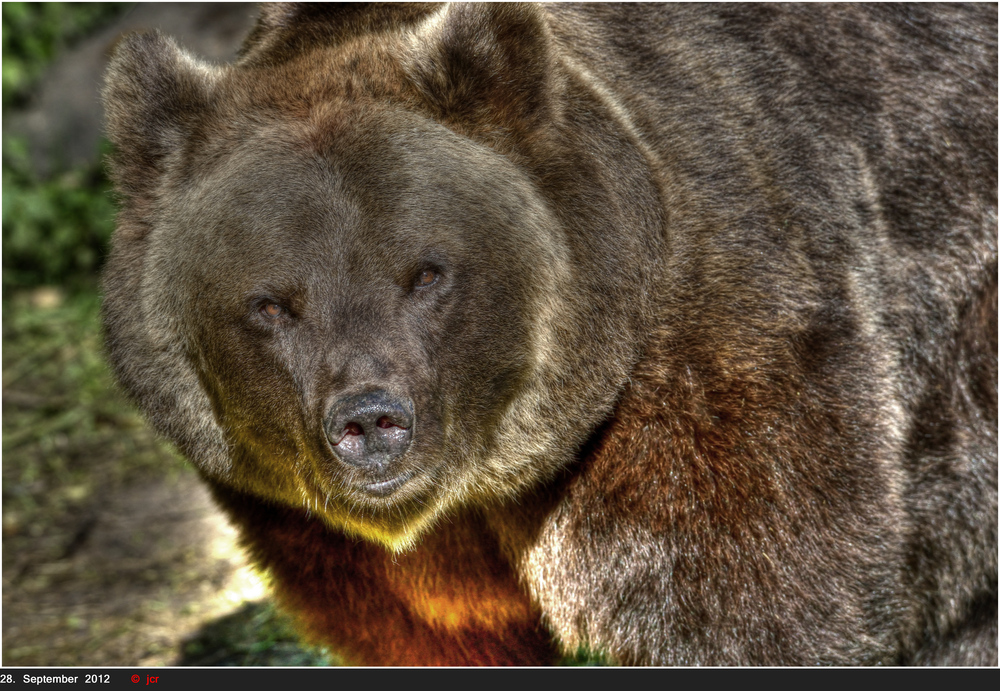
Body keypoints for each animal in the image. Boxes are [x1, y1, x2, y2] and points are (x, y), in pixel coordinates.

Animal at [99, 2, 992, 668]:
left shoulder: (707, 371)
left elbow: (757, 599)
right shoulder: (318, 525)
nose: (370, 420)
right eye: (273, 304)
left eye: (426, 272)